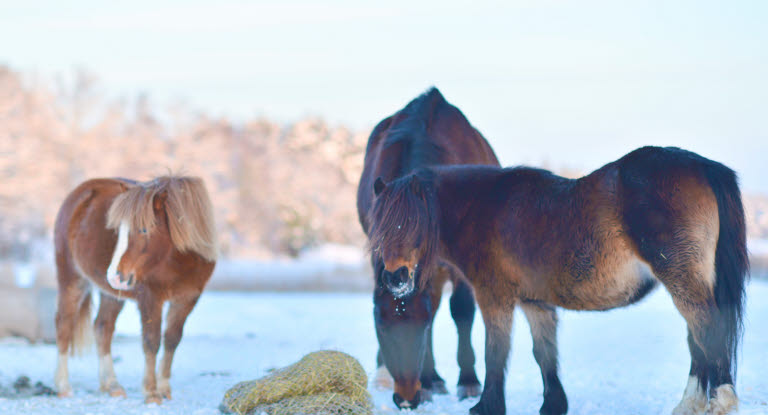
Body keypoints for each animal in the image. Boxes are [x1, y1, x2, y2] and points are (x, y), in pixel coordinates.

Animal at [53, 174, 216, 404]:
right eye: (118, 230)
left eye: (144, 229)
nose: (114, 275)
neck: (177, 259)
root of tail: (78, 195)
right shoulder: (150, 299)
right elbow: (151, 342)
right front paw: (151, 392)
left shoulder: (187, 300)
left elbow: (172, 340)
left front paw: (164, 388)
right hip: (72, 280)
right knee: (64, 326)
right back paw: (64, 386)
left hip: (112, 295)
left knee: (103, 328)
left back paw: (112, 386)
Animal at [356, 88, 500, 410]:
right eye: (381, 327)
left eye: (418, 329)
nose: (407, 398)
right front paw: (429, 381)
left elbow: (460, 310)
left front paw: (469, 382)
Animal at [368, 147, 748, 415]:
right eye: (382, 227)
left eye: (413, 223)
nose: (395, 278)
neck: (482, 210)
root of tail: (703, 167)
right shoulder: (534, 303)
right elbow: (544, 353)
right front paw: (553, 405)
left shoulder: (494, 298)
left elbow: (496, 352)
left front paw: (486, 406)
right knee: (697, 339)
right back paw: (689, 405)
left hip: (682, 281)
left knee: (707, 330)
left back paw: (720, 402)